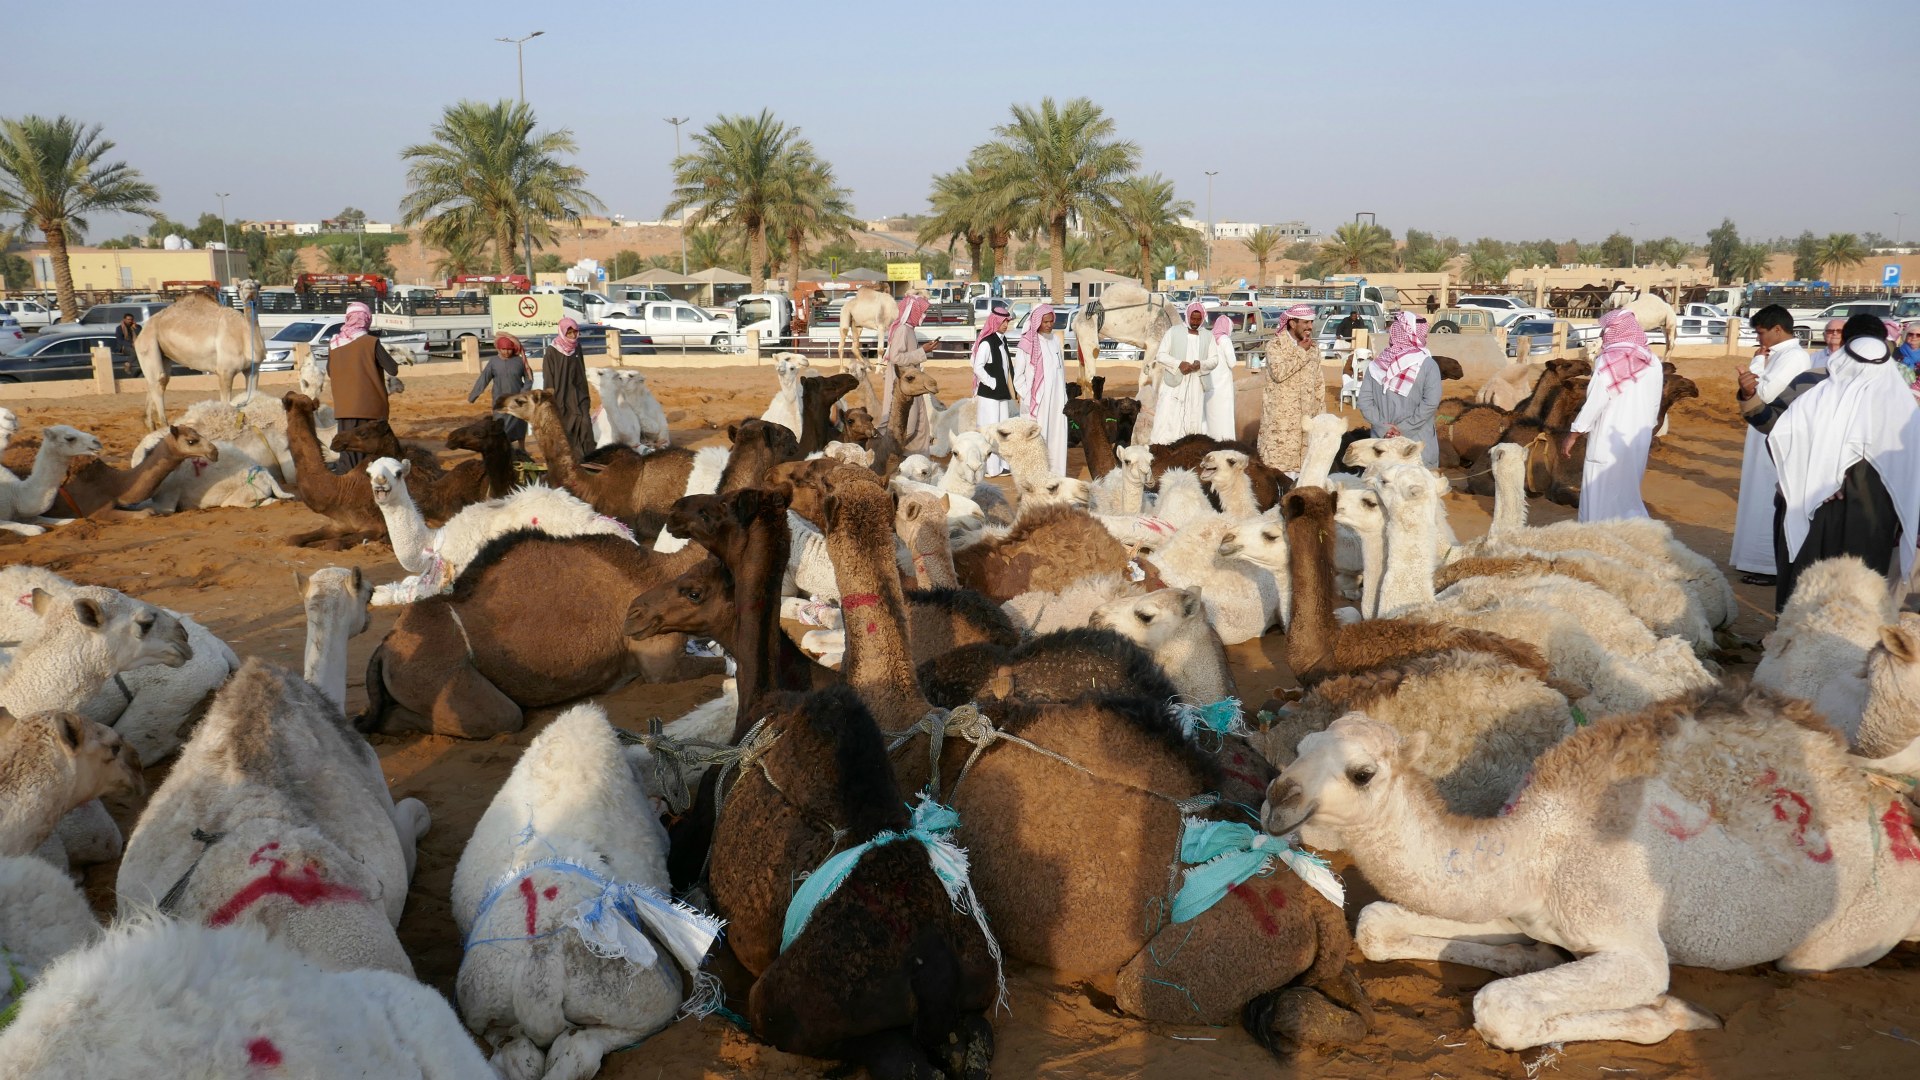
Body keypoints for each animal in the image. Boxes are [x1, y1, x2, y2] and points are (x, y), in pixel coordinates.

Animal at [135, 284, 267, 430]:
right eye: (239, 286)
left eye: (258, 285)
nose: (250, 289)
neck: (243, 332)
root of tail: (143, 330)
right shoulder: (225, 372)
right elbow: (226, 403)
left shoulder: (253, 370)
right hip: (148, 344)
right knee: (159, 382)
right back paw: (164, 425)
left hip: (163, 355)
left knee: (155, 382)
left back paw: (150, 426)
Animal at [281, 393, 386, 550]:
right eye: (291, 395)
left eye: (287, 399)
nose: (288, 393)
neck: (340, 491)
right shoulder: (338, 525)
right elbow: (293, 539)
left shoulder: (376, 525)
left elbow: (333, 544)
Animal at [1263, 688, 1920, 1050]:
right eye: (1299, 749)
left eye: (1362, 772)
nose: (1276, 800)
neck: (1535, 847)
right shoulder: (1520, 905)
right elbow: (1376, 923)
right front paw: (1528, 957)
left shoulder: (1625, 933)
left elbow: (1502, 1010)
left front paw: (1672, 1013)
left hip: (1846, 932)